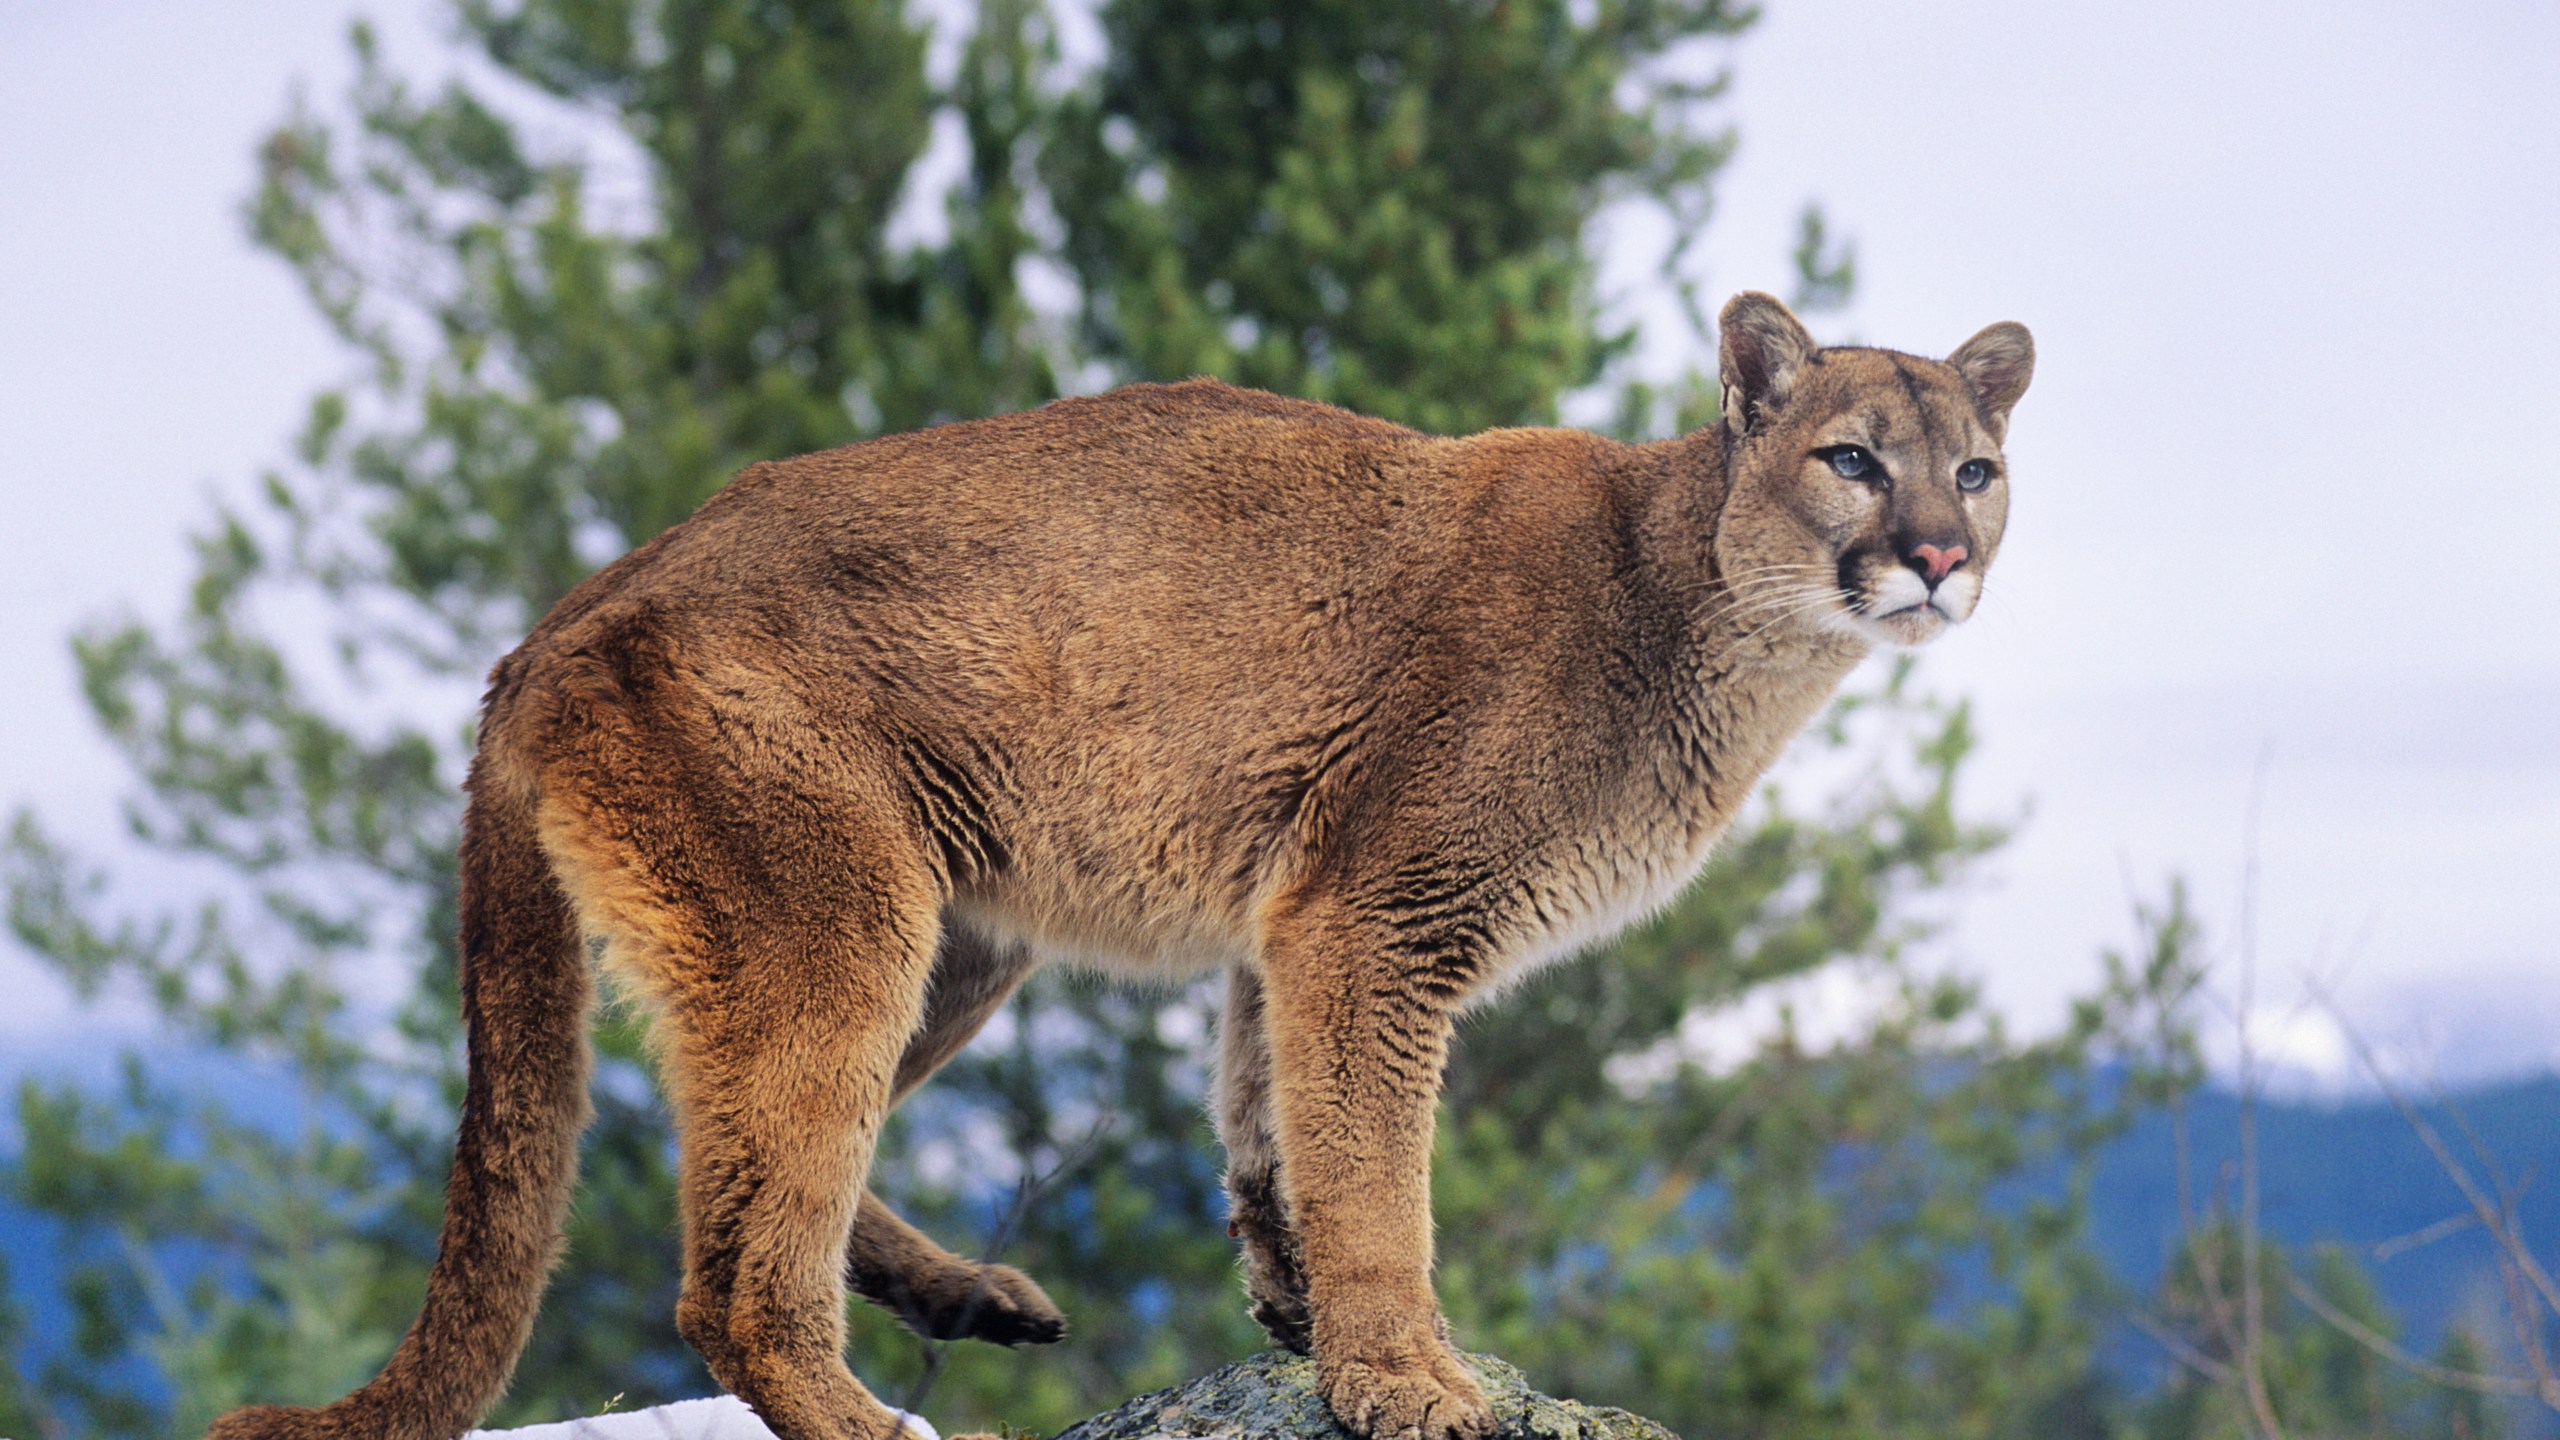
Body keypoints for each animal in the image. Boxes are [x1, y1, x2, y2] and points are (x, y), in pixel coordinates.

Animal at [204, 292, 2037, 1434]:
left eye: (1976, 467)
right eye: (1851, 458)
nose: (1940, 554)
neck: (1710, 616)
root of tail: (564, 614)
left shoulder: (1290, 921)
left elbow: (1272, 1128)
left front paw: (1305, 1328)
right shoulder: (1378, 917)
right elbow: (1377, 1171)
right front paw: (1408, 1380)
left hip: (952, 933)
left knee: (729, 1158)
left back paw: (970, 1301)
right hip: (840, 917)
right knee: (730, 1282)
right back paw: (885, 1418)